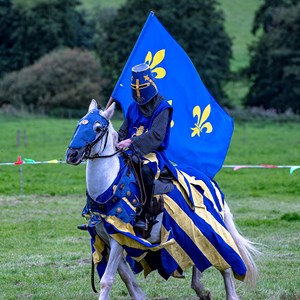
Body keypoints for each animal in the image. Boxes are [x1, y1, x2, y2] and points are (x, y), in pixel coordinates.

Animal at [67, 99, 258, 298]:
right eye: (79, 124)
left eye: (98, 128)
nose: (72, 155)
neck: (109, 185)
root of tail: (210, 182)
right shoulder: (106, 239)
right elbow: (128, 280)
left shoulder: (119, 238)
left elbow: (107, 280)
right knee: (201, 254)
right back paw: (200, 289)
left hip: (211, 228)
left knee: (225, 263)